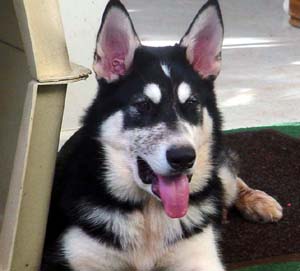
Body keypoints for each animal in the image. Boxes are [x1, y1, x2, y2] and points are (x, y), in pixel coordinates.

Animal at [41, 1, 282, 270]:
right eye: (143, 105)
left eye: (191, 103)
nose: (184, 158)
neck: (148, 213)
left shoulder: (201, 258)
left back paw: (257, 200)